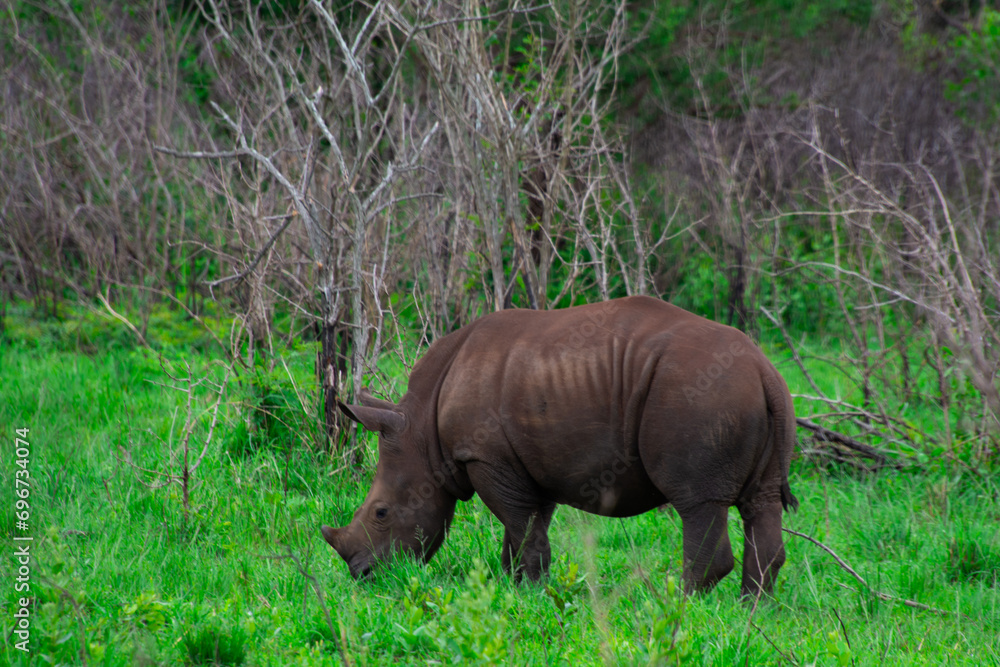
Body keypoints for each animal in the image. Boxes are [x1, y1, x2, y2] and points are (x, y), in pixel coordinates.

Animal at [322, 296, 798, 596]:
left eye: (381, 513)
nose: (362, 574)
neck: (421, 431)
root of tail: (764, 369)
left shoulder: (486, 458)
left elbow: (522, 527)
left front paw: (530, 591)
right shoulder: (528, 462)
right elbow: (528, 526)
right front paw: (515, 586)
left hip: (701, 394)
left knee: (697, 501)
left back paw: (680, 605)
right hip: (753, 397)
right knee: (761, 500)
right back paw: (753, 609)